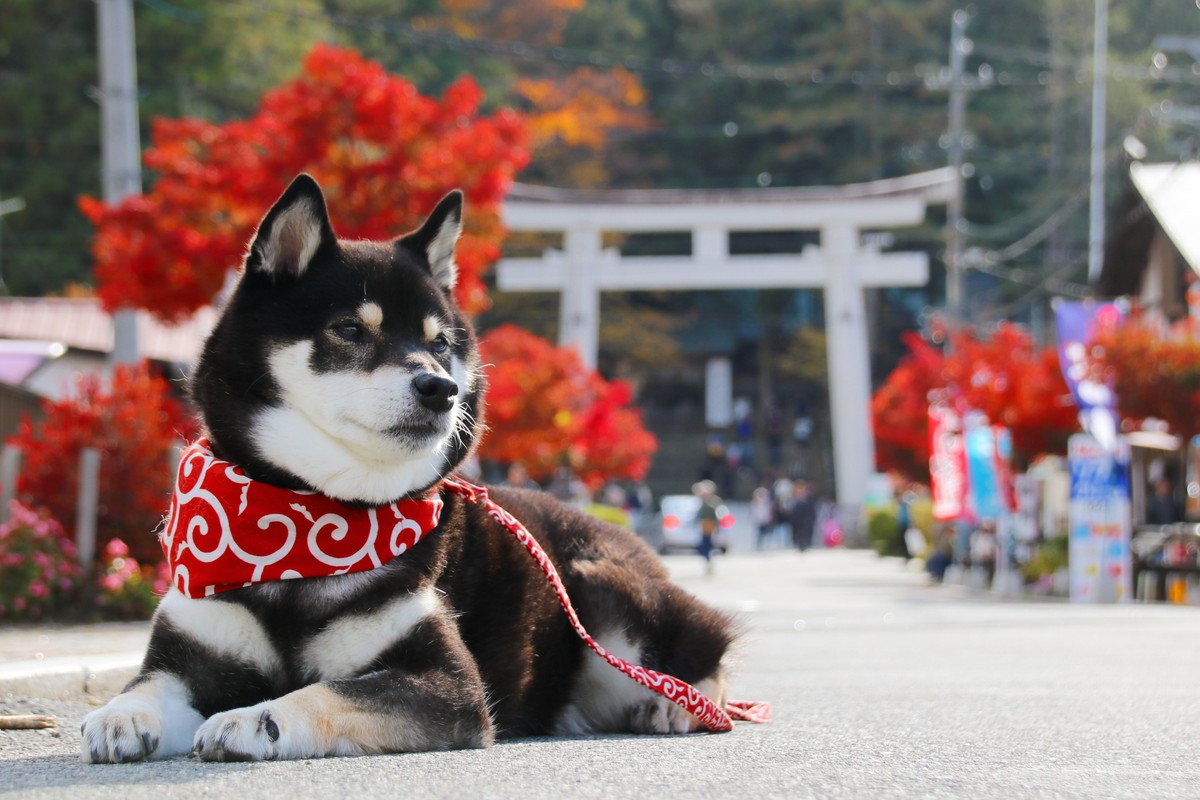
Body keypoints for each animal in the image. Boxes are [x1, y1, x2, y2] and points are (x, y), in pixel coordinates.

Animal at [79, 176, 734, 762]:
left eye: (439, 342)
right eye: (350, 329)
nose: (441, 388)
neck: (305, 517)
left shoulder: (448, 687)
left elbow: (325, 693)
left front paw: (253, 718)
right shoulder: (189, 651)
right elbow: (149, 685)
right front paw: (120, 715)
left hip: (602, 590)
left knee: (707, 650)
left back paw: (676, 703)